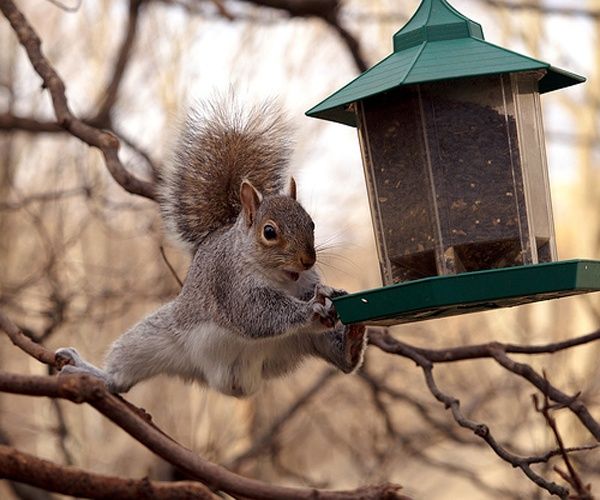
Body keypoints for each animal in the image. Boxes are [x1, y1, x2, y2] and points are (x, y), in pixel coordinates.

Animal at [56, 97, 368, 396]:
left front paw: (327, 292)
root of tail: (232, 383)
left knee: (343, 362)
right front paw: (312, 307)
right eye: (269, 232)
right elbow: (255, 313)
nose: (307, 260)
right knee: (120, 376)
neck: (279, 277)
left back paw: (353, 337)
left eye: (311, 224)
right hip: (152, 338)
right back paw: (88, 371)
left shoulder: (304, 280)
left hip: (307, 340)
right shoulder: (229, 282)